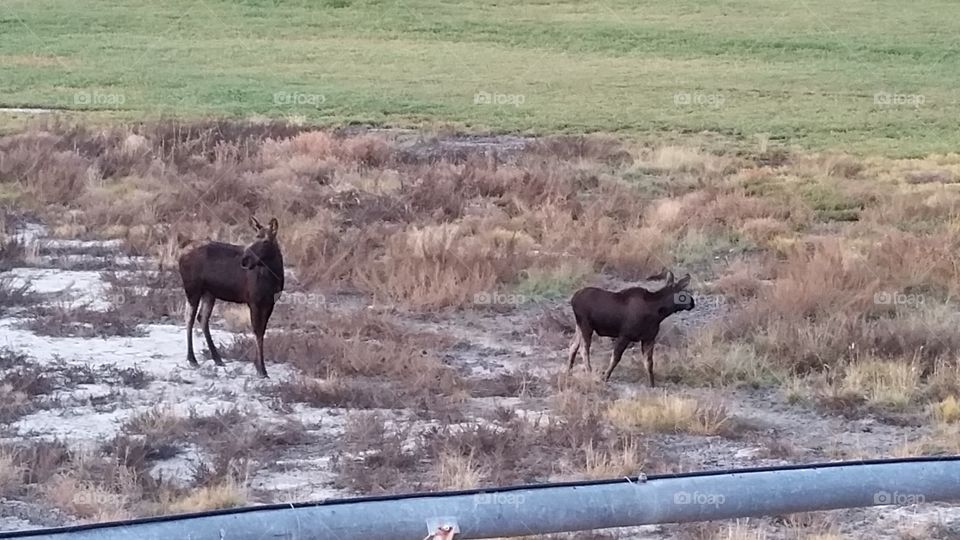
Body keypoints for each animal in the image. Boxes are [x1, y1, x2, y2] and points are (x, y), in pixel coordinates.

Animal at [178, 216, 284, 378]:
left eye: (266, 241)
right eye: (255, 236)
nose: (245, 260)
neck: (274, 276)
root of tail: (183, 250)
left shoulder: (269, 303)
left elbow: (262, 332)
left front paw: (258, 366)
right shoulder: (254, 301)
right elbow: (257, 331)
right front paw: (261, 369)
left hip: (209, 293)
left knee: (202, 317)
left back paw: (217, 358)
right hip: (192, 289)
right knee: (189, 317)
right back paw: (192, 359)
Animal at [566, 271, 695, 387]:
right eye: (683, 293)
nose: (692, 303)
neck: (657, 313)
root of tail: (573, 299)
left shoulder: (649, 338)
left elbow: (649, 362)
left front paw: (652, 384)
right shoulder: (625, 335)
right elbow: (616, 357)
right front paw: (605, 377)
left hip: (579, 326)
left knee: (573, 345)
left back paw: (569, 371)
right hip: (586, 325)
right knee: (583, 349)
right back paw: (589, 371)